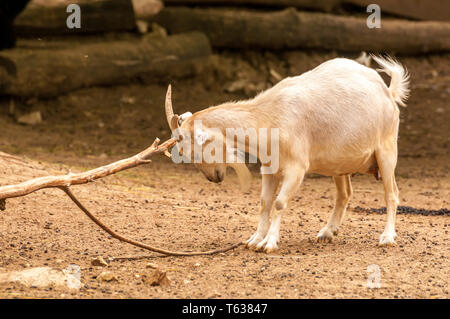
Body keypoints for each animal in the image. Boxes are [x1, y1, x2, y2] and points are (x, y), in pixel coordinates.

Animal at [163, 55, 410, 255]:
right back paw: (327, 232)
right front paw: (254, 240)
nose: (214, 177)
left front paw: (269, 243)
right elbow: (264, 202)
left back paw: (387, 237)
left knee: (392, 194)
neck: (268, 116)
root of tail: (388, 92)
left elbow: (280, 203)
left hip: (387, 151)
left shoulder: (296, 169)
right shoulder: (269, 168)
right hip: (339, 164)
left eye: (194, 149)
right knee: (345, 194)